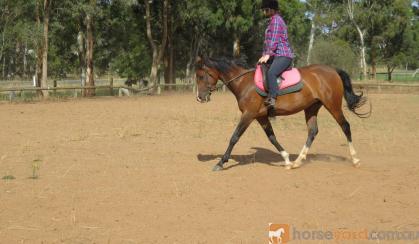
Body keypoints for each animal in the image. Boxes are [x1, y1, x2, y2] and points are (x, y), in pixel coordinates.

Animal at [195, 57, 370, 172]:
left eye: (201, 76)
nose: (200, 98)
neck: (244, 82)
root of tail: (333, 70)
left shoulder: (248, 114)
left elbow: (234, 137)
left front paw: (220, 163)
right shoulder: (261, 116)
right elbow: (272, 138)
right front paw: (286, 159)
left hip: (332, 105)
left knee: (345, 126)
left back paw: (355, 159)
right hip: (311, 108)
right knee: (313, 131)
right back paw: (298, 161)